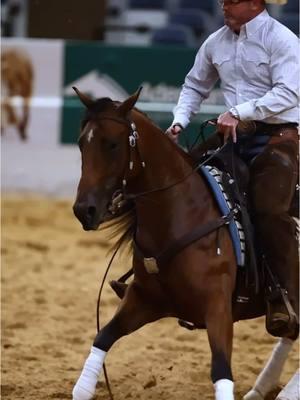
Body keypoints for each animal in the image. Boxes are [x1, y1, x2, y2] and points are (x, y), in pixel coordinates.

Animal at [71, 90, 298, 400]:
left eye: (113, 145)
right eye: (82, 143)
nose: (84, 210)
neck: (181, 215)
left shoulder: (217, 309)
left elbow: (221, 370)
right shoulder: (142, 300)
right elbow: (102, 338)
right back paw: (260, 389)